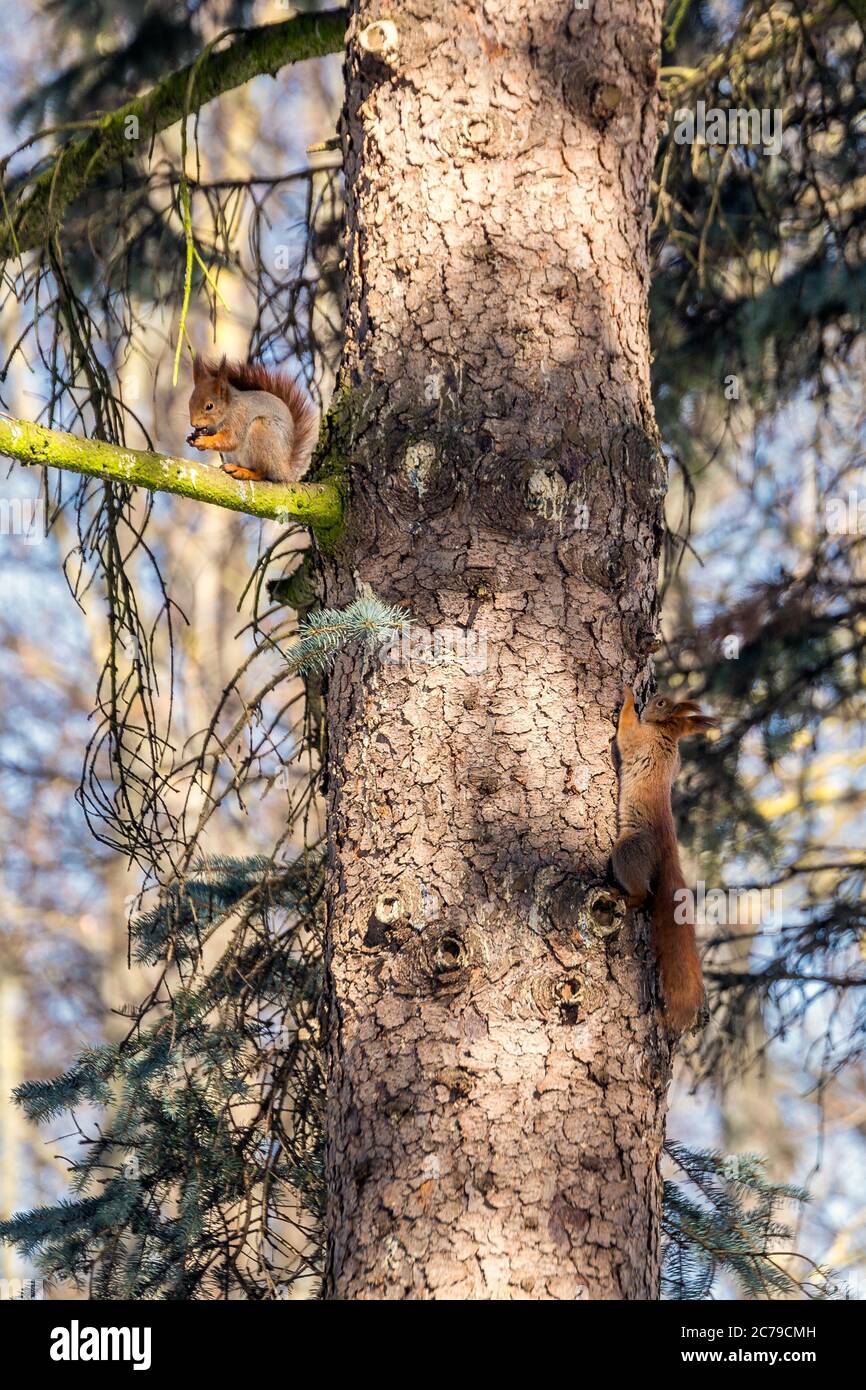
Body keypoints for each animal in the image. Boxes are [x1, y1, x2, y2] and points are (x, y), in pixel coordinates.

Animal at [186, 353, 318, 483]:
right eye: (190, 401)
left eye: (210, 406)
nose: (194, 424)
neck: (228, 409)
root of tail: (285, 471)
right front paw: (192, 437)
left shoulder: (238, 419)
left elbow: (230, 440)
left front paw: (204, 441)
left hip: (261, 433)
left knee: (262, 473)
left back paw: (244, 472)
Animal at [614, 689, 717, 1039]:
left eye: (660, 704)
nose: (652, 695)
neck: (666, 735)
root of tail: (668, 851)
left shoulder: (639, 741)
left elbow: (625, 732)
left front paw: (628, 697)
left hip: (629, 851)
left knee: (643, 893)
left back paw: (625, 897)